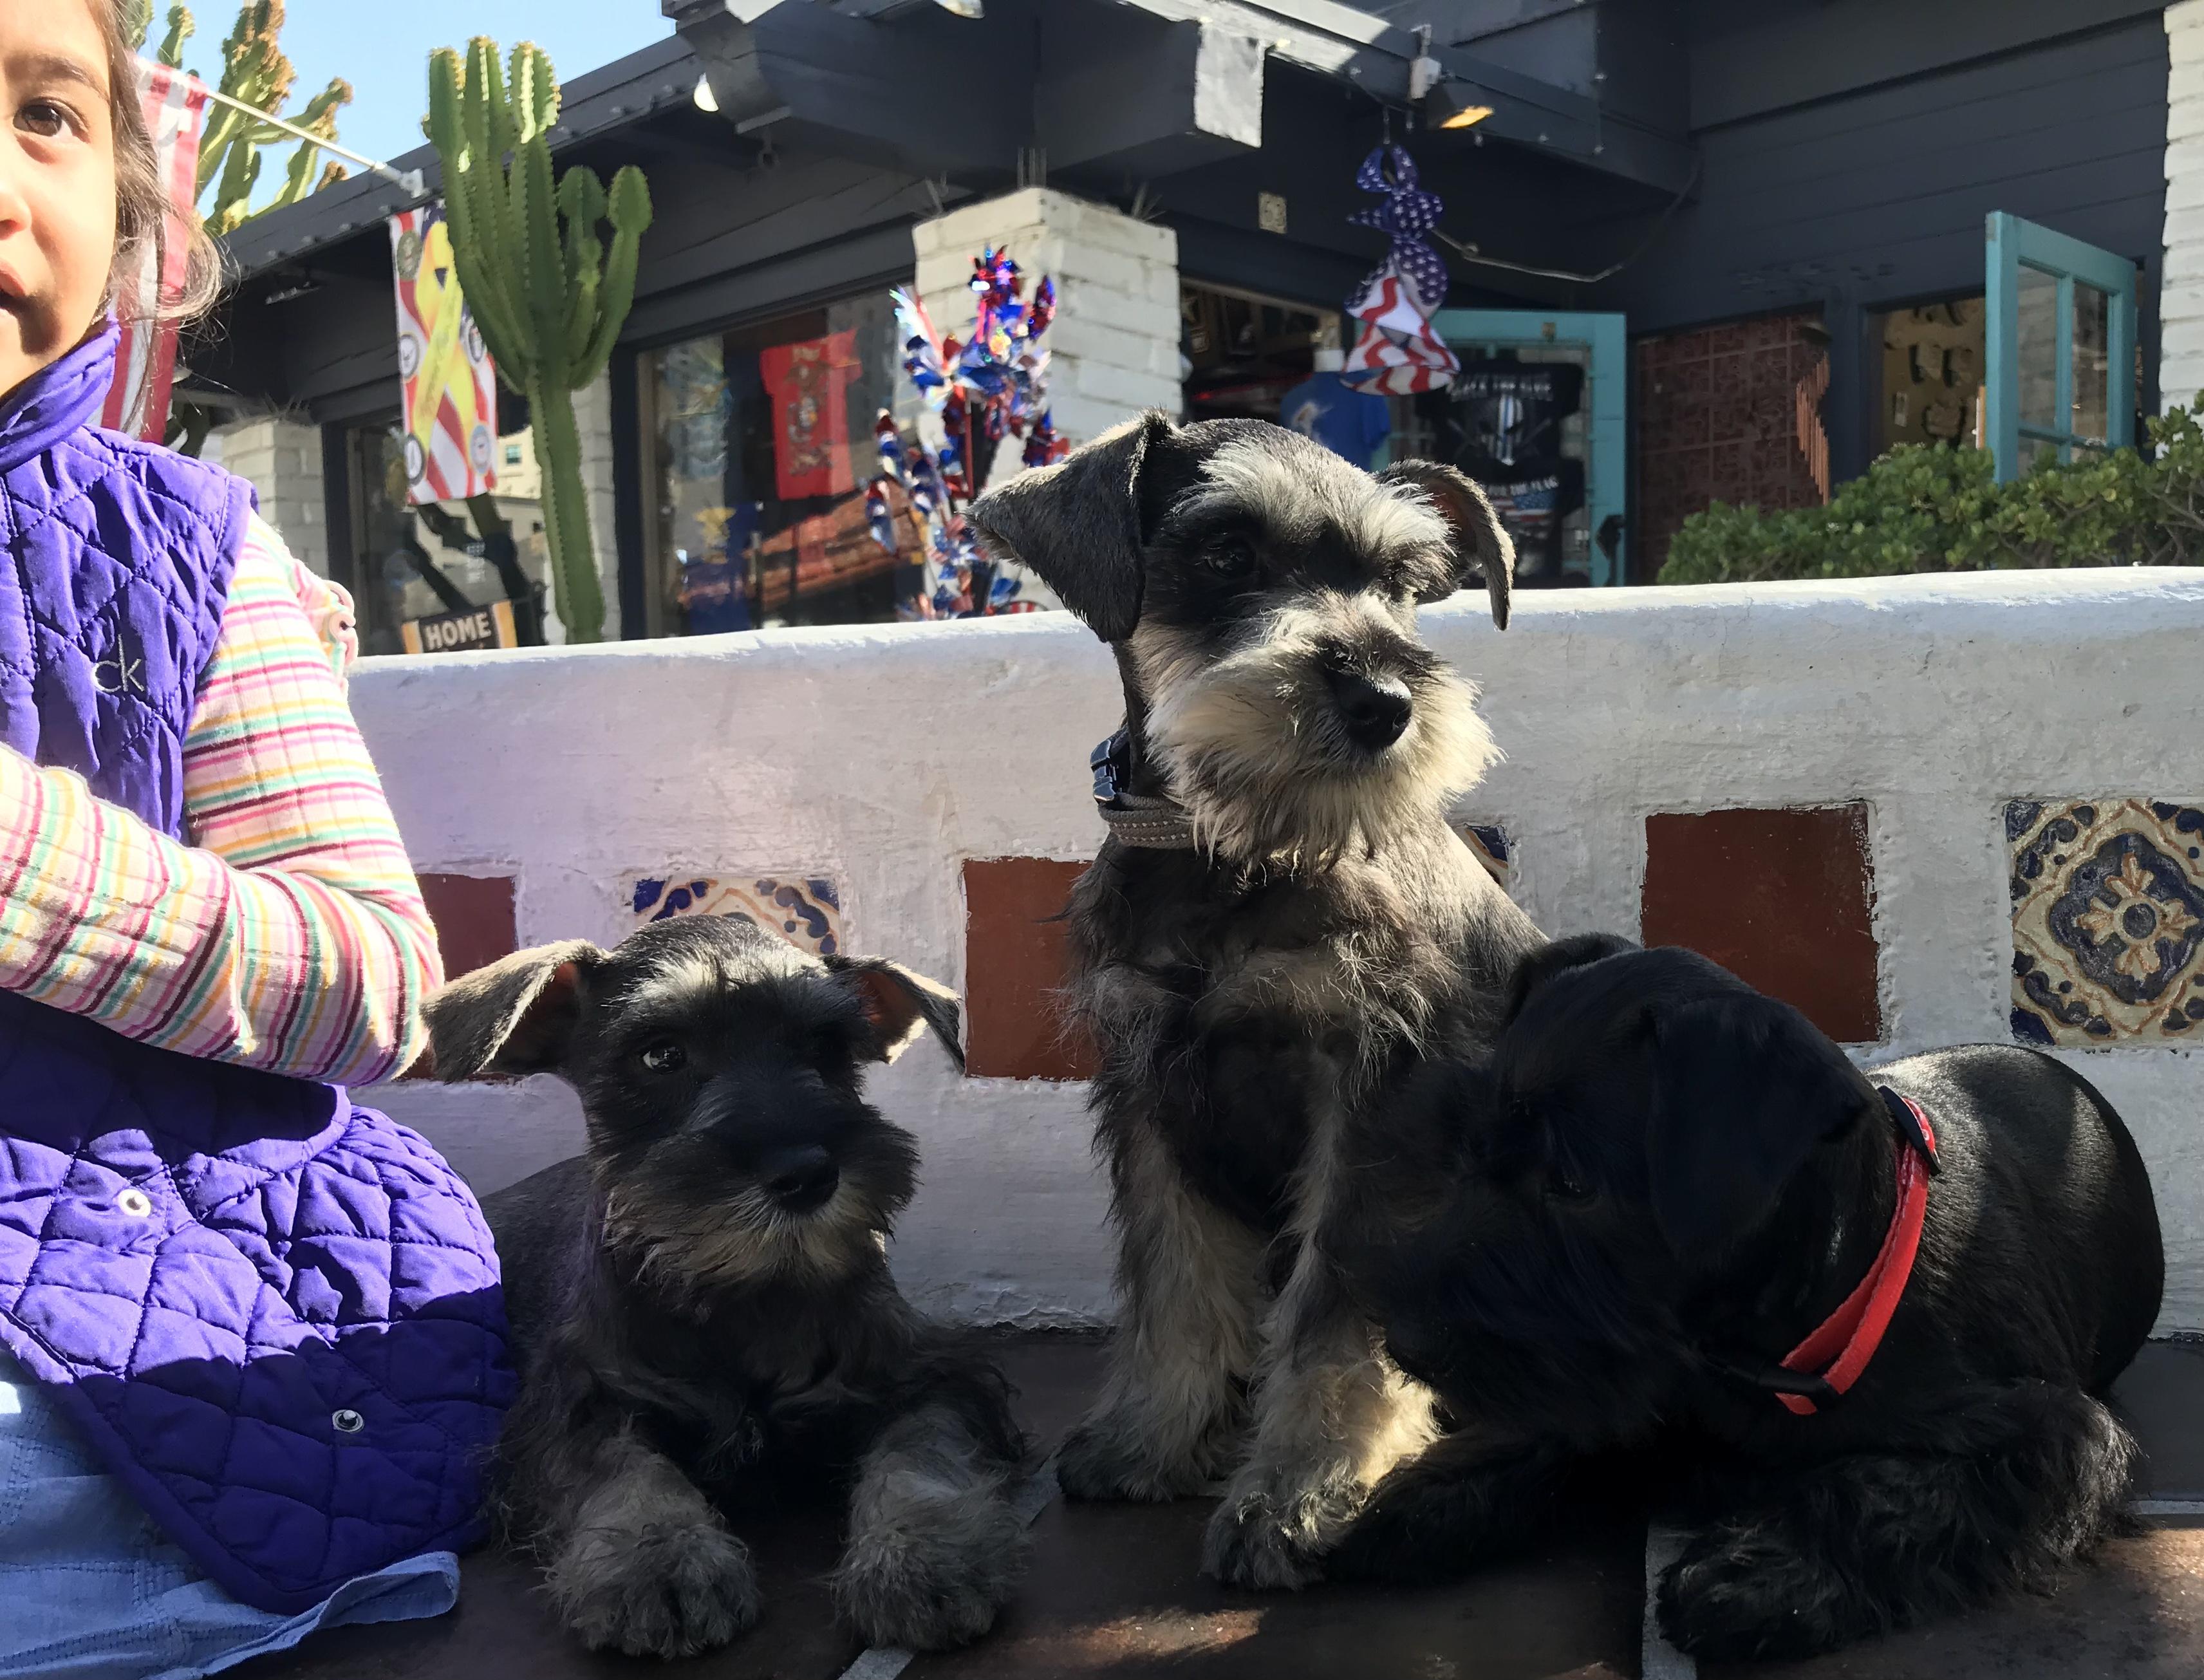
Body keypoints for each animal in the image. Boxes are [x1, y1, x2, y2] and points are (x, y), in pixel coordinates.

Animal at [420, 916, 1031, 1658]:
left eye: (826, 1046)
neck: (745, 1291)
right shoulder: (575, 1405)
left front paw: (924, 1556)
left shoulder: (929, 1375)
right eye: (661, 1056)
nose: (805, 1174)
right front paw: (658, 1564)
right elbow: (625, 1471)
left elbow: (921, 1453)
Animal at [968, 413, 1545, 1588]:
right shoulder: (1148, 1090)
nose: (1383, 705)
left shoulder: (1371, 1094)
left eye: (1402, 585)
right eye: (1228, 553)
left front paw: (1300, 1490)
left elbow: (1335, 1311)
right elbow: (1175, 1282)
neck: (1230, 851)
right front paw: (1153, 1438)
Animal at [1329, 934, 2165, 1659]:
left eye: (1572, 1181)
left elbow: (1889, 1489)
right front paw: (1434, 1490)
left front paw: (1761, 1575)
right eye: (1470, 1150)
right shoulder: (1642, 1375)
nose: (1405, 1343)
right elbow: (1566, 1419)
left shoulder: (2047, 1431)